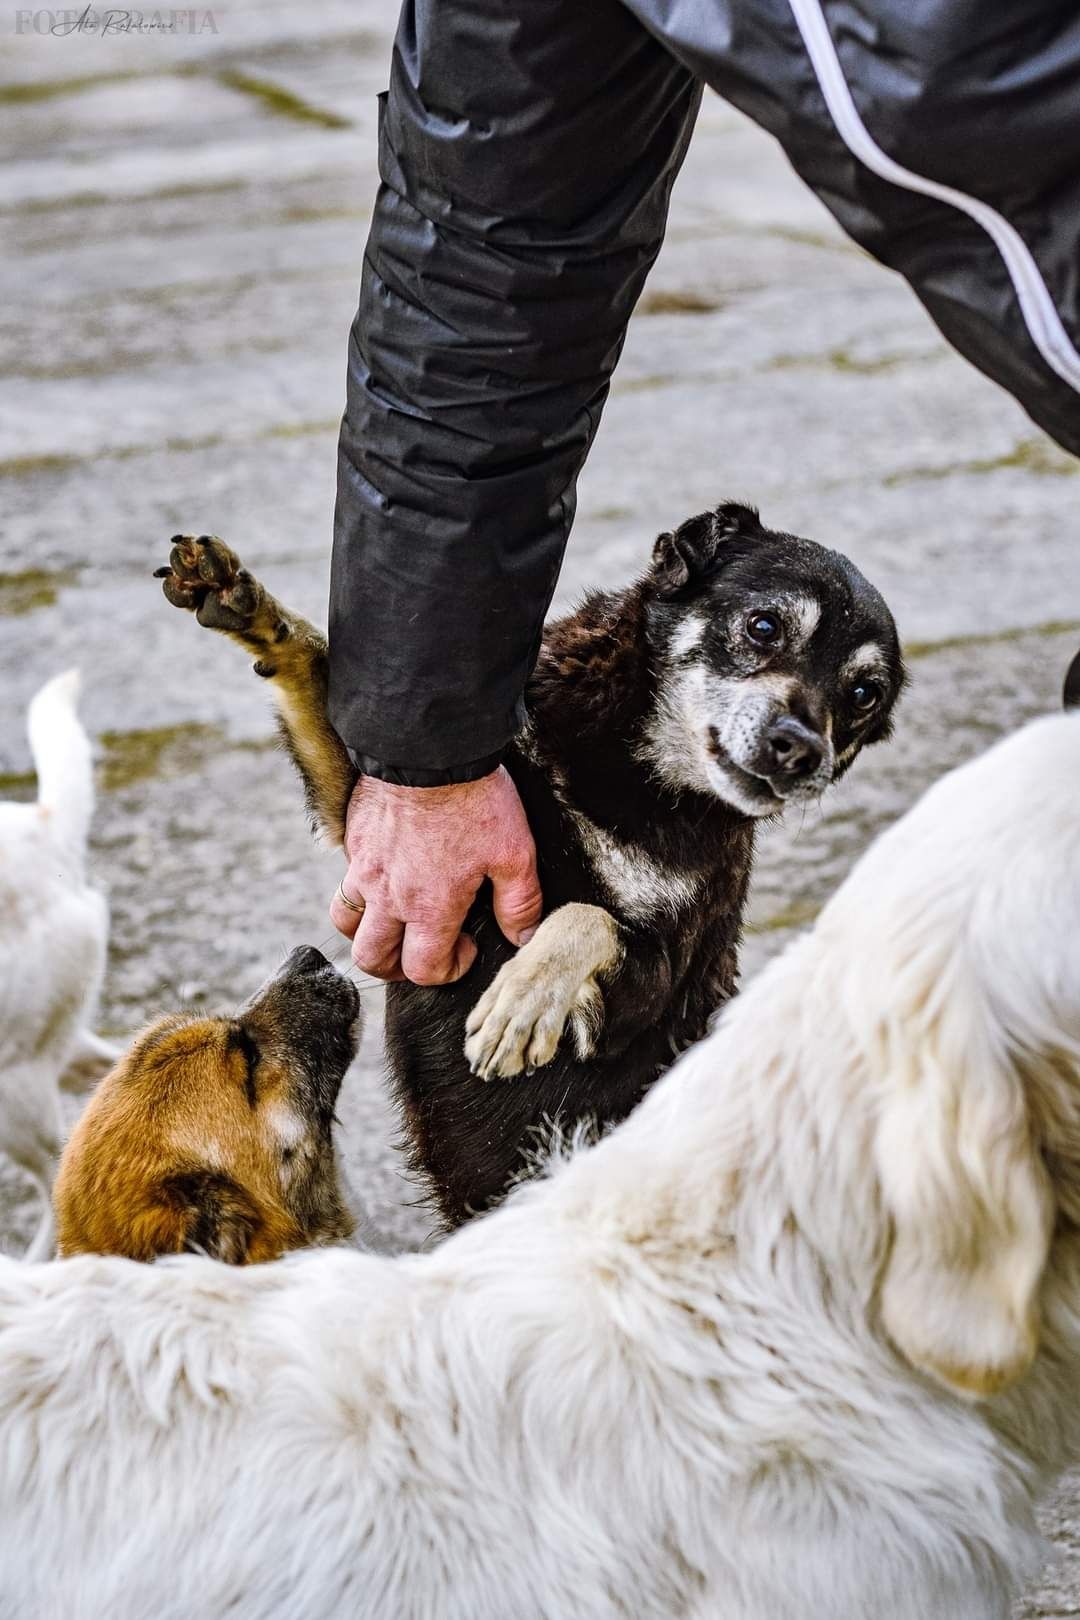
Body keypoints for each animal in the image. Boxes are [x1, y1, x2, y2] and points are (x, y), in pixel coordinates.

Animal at [158, 505, 906, 1224]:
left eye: (864, 696)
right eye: (764, 626)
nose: (802, 750)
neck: (632, 782)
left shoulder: (649, 985)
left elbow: (585, 916)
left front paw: (524, 996)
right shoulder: (393, 819)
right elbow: (315, 666)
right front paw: (251, 610)